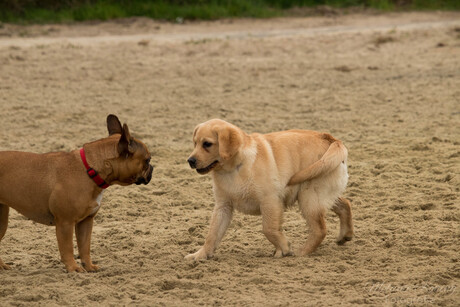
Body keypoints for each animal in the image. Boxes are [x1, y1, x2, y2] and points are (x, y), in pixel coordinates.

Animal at [0, 115, 155, 272]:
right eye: (147, 160)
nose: (152, 168)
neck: (90, 169)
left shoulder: (86, 222)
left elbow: (84, 247)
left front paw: (89, 266)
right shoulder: (65, 223)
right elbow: (68, 248)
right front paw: (73, 268)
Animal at [185, 119, 354, 262]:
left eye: (207, 144)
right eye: (195, 143)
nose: (190, 161)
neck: (233, 169)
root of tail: (331, 139)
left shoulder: (270, 201)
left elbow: (268, 229)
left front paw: (284, 248)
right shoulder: (223, 206)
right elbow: (212, 234)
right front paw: (200, 255)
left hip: (309, 198)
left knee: (320, 230)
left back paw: (301, 252)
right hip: (321, 195)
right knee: (345, 204)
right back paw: (345, 235)